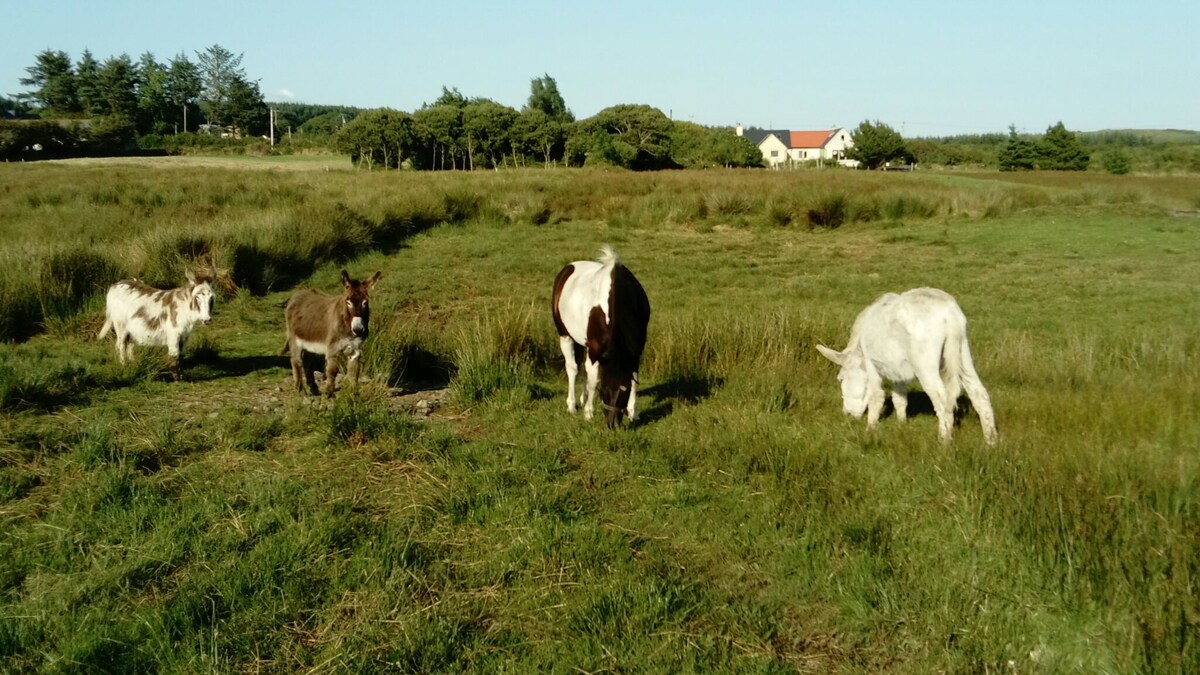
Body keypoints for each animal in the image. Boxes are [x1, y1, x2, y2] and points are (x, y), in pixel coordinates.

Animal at [549, 246, 648, 425]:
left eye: (625, 393)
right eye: (604, 390)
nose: (613, 424)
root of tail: (567, 269)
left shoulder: (636, 350)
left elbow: (634, 378)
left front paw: (633, 412)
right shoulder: (595, 348)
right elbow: (594, 379)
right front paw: (588, 413)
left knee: (584, 367)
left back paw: (583, 398)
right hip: (565, 336)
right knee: (573, 368)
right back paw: (572, 405)